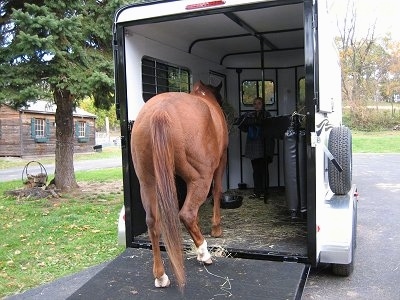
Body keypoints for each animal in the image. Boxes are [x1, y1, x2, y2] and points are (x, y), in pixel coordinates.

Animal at [130, 79, 227, 288]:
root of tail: (160, 111)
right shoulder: (221, 161)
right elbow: (217, 191)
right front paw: (216, 228)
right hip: (201, 178)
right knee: (187, 214)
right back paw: (204, 254)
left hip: (148, 183)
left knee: (153, 222)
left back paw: (161, 276)